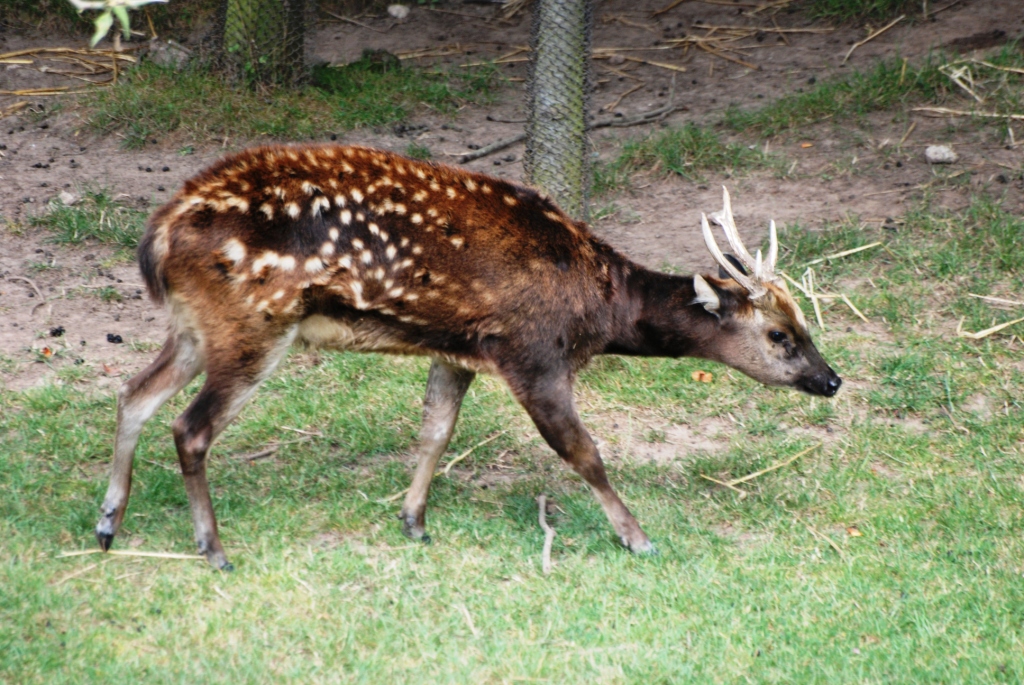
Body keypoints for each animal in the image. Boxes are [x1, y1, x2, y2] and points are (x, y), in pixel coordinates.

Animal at [95, 144, 841, 570]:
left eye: (803, 323)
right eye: (780, 334)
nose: (831, 378)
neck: (597, 306)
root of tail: (159, 233)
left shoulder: (458, 347)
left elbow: (435, 430)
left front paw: (413, 522)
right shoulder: (532, 350)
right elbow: (584, 451)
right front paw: (638, 537)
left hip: (195, 327)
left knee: (134, 392)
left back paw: (108, 523)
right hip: (253, 323)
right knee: (189, 426)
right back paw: (214, 549)